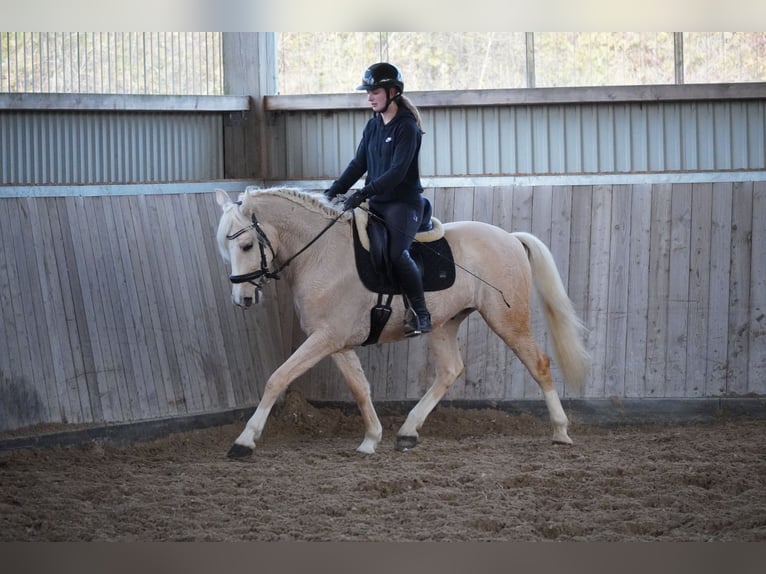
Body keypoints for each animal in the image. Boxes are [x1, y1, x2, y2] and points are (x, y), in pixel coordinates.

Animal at [216, 188, 592, 460]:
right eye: (225, 249)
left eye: (246, 245)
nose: (242, 299)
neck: (321, 254)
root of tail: (510, 238)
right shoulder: (335, 340)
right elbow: (360, 388)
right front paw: (371, 439)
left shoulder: (325, 338)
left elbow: (277, 379)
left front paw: (244, 441)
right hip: (444, 324)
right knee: (450, 370)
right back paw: (408, 431)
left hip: (507, 319)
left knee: (538, 363)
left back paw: (560, 432)